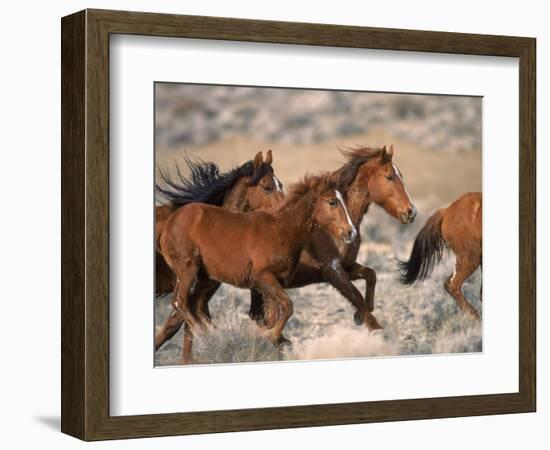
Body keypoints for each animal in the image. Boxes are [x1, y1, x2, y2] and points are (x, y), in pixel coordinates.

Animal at [160, 174, 358, 360]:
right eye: (332, 201)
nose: (351, 232)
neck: (280, 231)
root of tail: (169, 223)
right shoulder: (262, 278)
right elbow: (288, 306)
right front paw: (269, 335)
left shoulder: (275, 284)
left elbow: (277, 313)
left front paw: (275, 341)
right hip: (188, 269)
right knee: (180, 302)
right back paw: (211, 335)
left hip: (204, 277)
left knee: (192, 304)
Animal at [250, 144, 418, 330]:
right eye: (390, 177)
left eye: (400, 175)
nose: (411, 212)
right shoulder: (332, 270)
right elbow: (357, 296)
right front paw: (372, 326)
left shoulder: (346, 266)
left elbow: (370, 275)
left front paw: (360, 315)